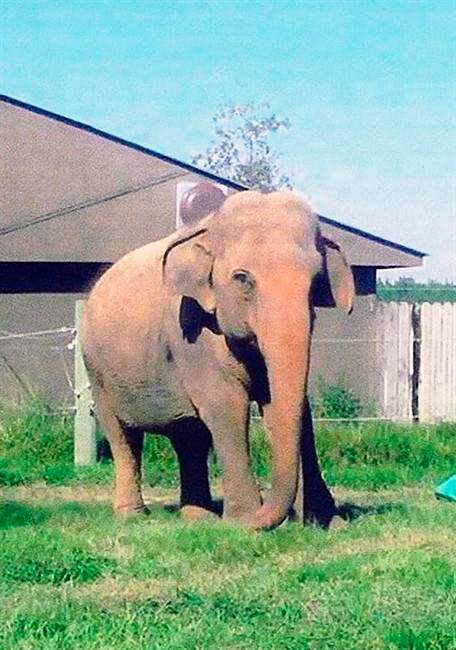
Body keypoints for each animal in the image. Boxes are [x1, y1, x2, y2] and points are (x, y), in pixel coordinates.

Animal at [81, 190, 355, 530]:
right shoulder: (190, 328)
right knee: (123, 435)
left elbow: (289, 409)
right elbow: (225, 405)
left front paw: (328, 523)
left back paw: (197, 516)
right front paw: (243, 522)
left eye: (316, 280)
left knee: (189, 437)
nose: (283, 514)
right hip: (96, 367)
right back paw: (132, 516)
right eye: (242, 278)